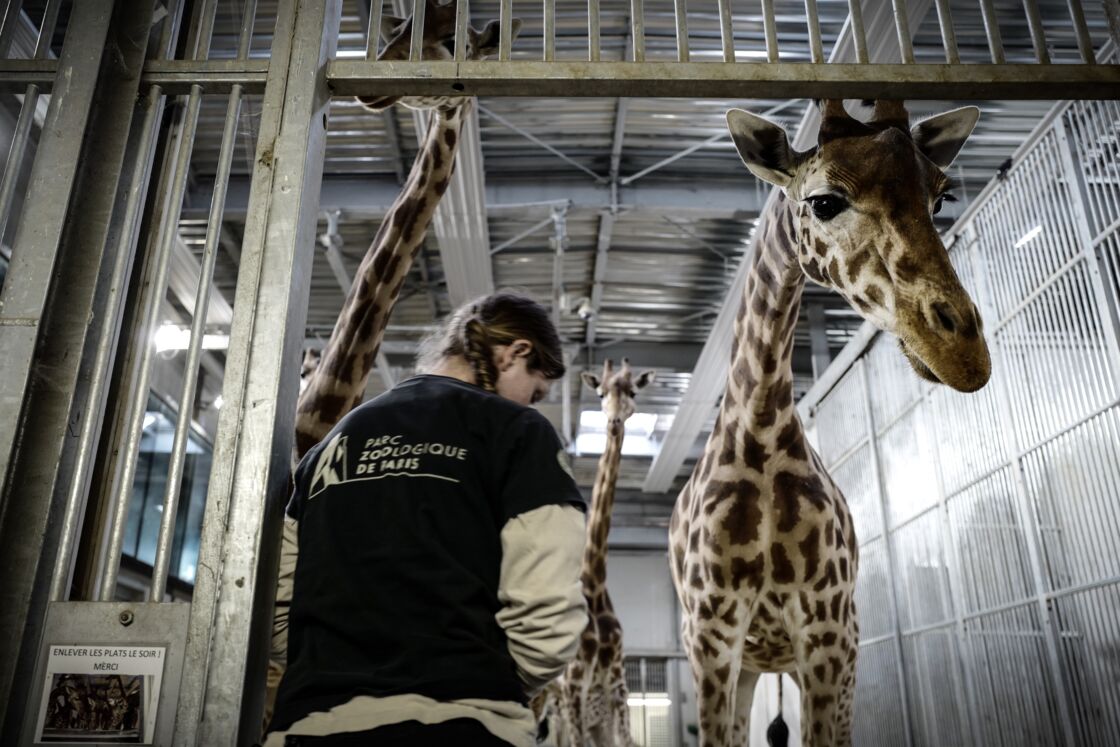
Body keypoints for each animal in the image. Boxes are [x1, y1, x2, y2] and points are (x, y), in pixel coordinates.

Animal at [544, 358, 654, 743]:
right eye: (601, 393)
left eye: (632, 391)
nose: (614, 421)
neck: (594, 584)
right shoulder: (574, 686)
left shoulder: (616, 690)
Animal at [667, 100, 985, 747]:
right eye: (822, 202)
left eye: (941, 199)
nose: (965, 354)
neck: (761, 440)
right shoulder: (711, 635)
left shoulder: (830, 629)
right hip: (747, 663)